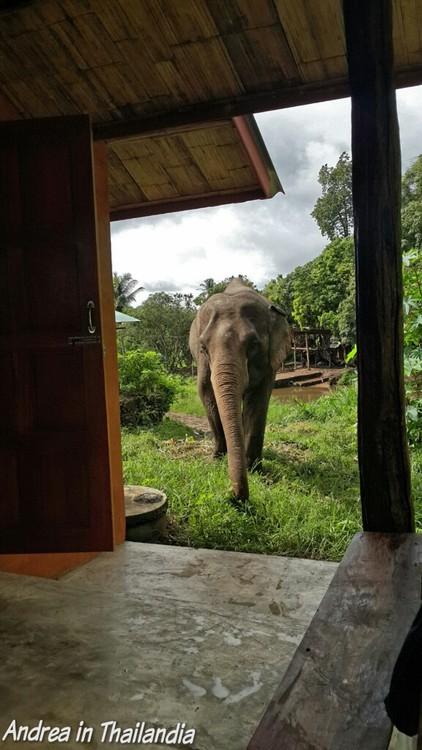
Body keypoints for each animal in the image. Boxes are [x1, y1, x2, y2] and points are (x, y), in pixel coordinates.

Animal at [189, 280, 290, 502]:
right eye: (203, 347)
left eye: (253, 345)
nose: (233, 496)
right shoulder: (202, 362)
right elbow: (205, 391)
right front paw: (217, 458)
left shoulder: (269, 362)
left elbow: (258, 400)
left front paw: (253, 469)